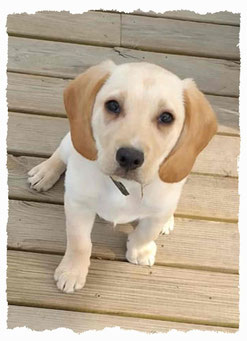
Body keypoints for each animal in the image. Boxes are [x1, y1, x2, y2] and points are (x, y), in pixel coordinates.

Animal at [27, 60, 216, 292]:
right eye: (113, 106)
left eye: (166, 117)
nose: (129, 157)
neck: (125, 187)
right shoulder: (78, 204)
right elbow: (79, 242)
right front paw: (72, 271)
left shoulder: (157, 210)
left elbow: (147, 232)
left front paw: (140, 250)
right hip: (72, 142)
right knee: (61, 153)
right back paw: (45, 172)